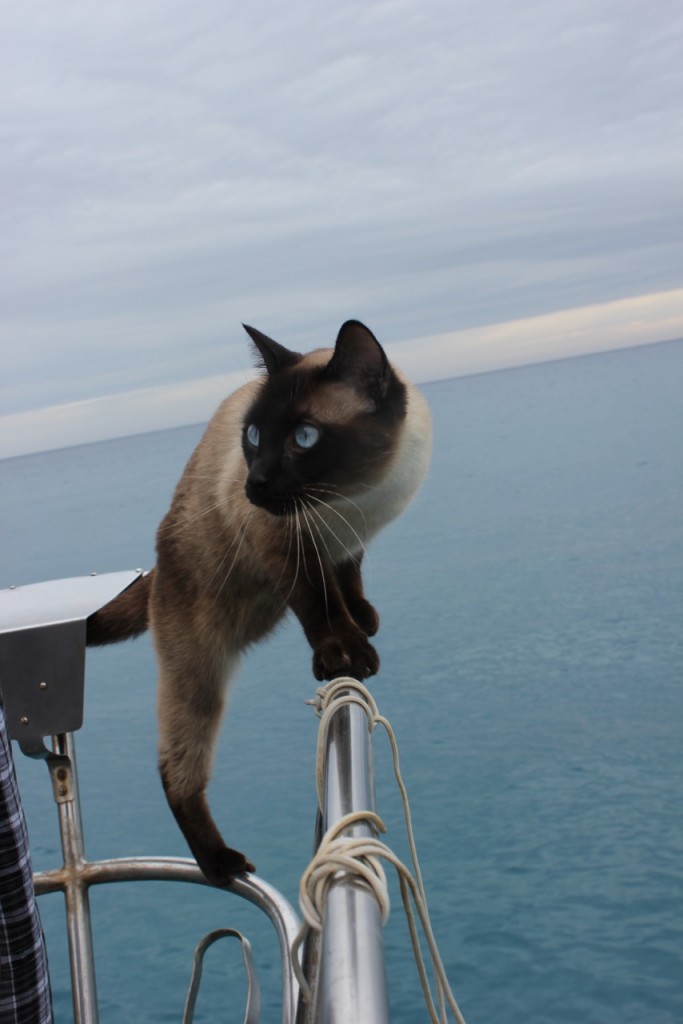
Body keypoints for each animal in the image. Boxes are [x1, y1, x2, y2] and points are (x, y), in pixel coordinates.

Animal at [83, 321, 428, 888]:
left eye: (304, 438)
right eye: (254, 437)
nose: (256, 482)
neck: (353, 499)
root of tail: (155, 573)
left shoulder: (349, 542)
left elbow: (347, 583)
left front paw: (363, 620)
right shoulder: (289, 547)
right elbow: (320, 603)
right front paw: (347, 653)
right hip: (199, 669)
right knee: (174, 769)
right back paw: (221, 864)